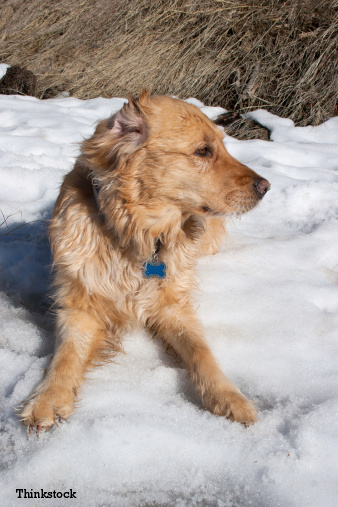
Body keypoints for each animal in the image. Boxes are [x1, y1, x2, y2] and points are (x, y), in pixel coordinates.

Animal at [20, 91, 270, 432]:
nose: (266, 187)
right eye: (203, 150)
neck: (137, 234)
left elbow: (201, 351)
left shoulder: (174, 306)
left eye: (222, 144)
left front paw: (229, 397)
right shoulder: (79, 305)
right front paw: (48, 398)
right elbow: (66, 355)